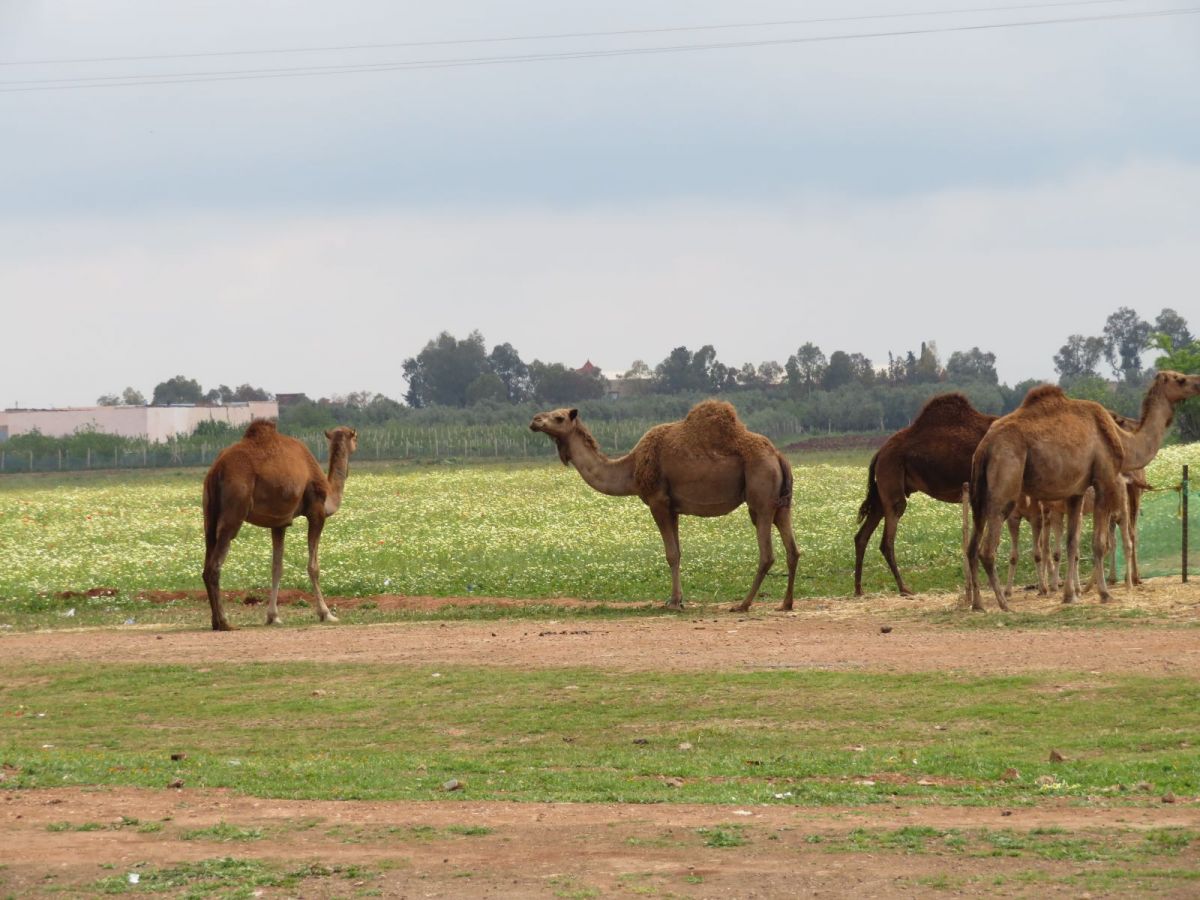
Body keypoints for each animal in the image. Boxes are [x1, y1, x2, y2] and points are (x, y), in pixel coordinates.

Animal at [202, 420, 358, 631]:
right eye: (356, 437)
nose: (357, 445)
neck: (328, 493)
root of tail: (216, 470)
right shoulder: (316, 512)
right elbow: (313, 566)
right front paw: (326, 614)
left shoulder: (279, 522)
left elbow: (277, 567)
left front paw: (273, 616)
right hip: (234, 510)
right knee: (215, 566)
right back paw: (225, 622)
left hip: (209, 515)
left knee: (207, 560)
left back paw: (215, 622)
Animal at [530, 401, 798, 612]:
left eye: (559, 417)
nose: (534, 420)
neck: (631, 469)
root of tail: (778, 456)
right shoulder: (673, 507)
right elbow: (678, 552)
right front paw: (678, 600)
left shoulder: (657, 501)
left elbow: (671, 554)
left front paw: (674, 602)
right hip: (781, 503)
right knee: (792, 549)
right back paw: (785, 604)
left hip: (760, 497)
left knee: (767, 553)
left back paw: (743, 604)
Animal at [854, 393, 996, 596]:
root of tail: (879, 453)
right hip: (892, 476)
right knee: (887, 538)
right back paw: (904, 588)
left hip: (883, 492)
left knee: (862, 535)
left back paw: (859, 589)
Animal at [967, 371, 1200, 611]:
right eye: (1180, 379)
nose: (1198, 382)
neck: (1122, 441)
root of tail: (985, 446)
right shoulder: (1104, 480)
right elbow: (1099, 544)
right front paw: (1104, 594)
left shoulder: (1075, 492)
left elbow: (1072, 544)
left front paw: (1070, 595)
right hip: (1005, 482)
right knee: (987, 549)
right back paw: (1004, 603)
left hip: (978, 495)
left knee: (971, 548)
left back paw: (978, 604)